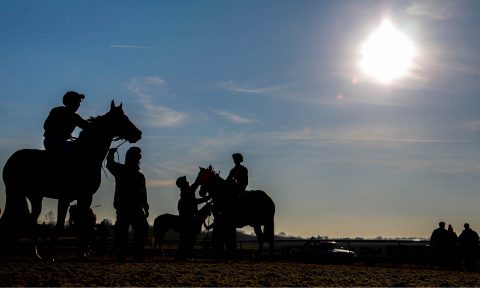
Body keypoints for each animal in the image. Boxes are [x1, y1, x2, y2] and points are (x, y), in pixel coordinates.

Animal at [0, 101, 141, 258]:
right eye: (123, 119)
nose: (138, 133)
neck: (84, 155)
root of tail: (11, 159)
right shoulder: (67, 198)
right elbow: (63, 226)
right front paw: (53, 253)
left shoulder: (83, 197)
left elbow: (81, 225)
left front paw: (82, 252)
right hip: (16, 193)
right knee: (13, 220)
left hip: (32, 196)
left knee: (25, 220)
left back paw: (32, 253)